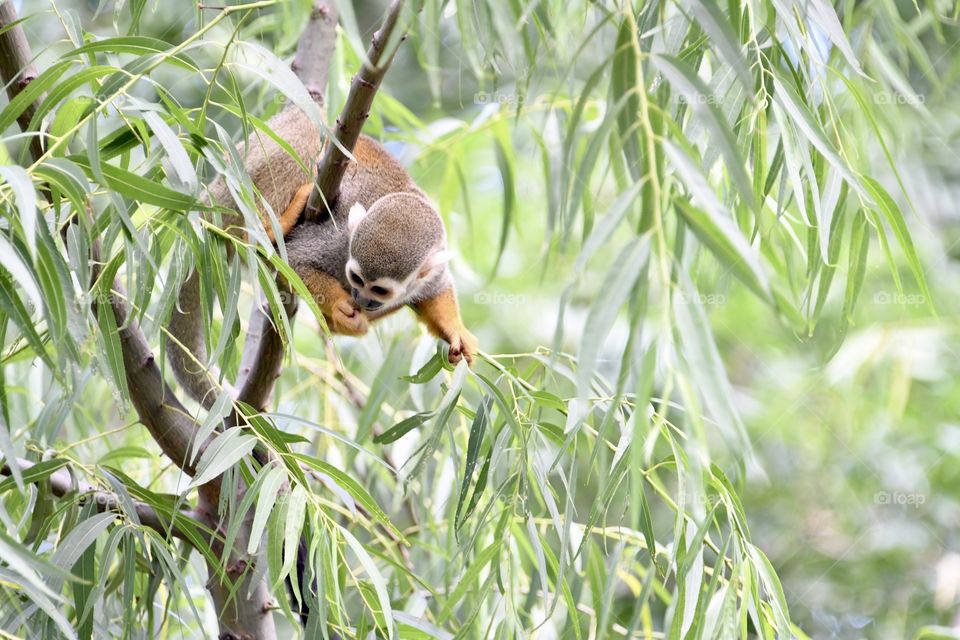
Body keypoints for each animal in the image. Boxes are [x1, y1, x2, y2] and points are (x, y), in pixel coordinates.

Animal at [167, 107, 477, 409]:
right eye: (356, 279)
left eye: (379, 290)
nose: (362, 299)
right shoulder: (340, 242)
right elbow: (293, 261)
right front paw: (340, 306)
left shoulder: (433, 267)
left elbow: (435, 292)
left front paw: (455, 331)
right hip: (236, 183)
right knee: (305, 130)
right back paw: (267, 231)